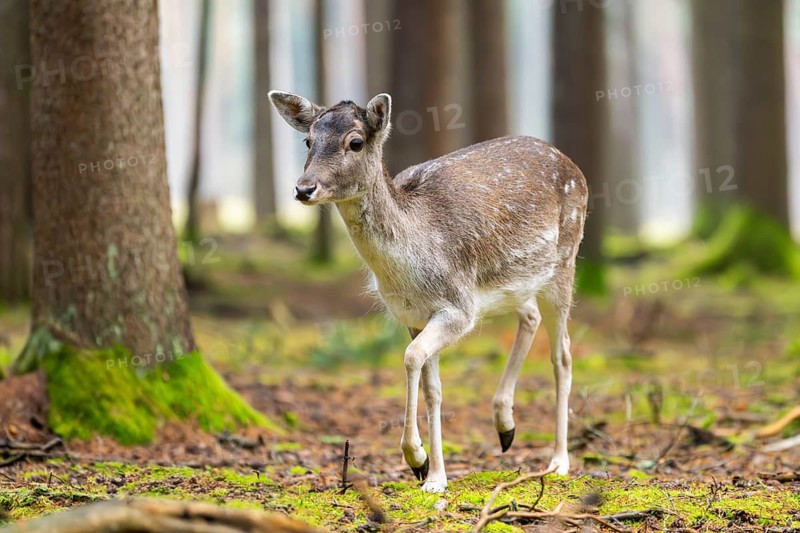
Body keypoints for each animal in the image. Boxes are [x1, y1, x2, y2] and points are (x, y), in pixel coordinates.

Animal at [269, 91, 588, 493]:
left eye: (355, 142)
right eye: (308, 141)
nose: (303, 188)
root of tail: (574, 166)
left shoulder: (459, 308)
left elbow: (410, 358)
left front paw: (419, 462)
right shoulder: (413, 315)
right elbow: (431, 385)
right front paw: (432, 472)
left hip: (564, 261)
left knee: (563, 355)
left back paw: (559, 461)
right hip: (517, 282)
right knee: (529, 316)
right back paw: (505, 425)